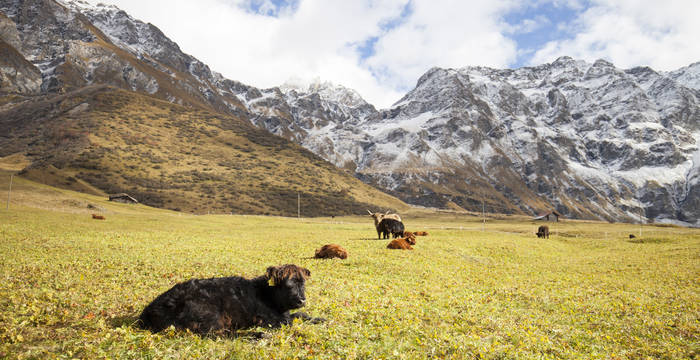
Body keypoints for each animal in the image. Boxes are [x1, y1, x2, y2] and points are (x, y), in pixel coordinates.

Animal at [138, 262, 326, 336]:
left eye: (303, 283)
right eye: (288, 285)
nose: (301, 300)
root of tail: (149, 309)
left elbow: (301, 315)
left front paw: (321, 319)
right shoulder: (268, 319)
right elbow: (292, 321)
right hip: (208, 313)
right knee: (217, 334)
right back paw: (257, 335)